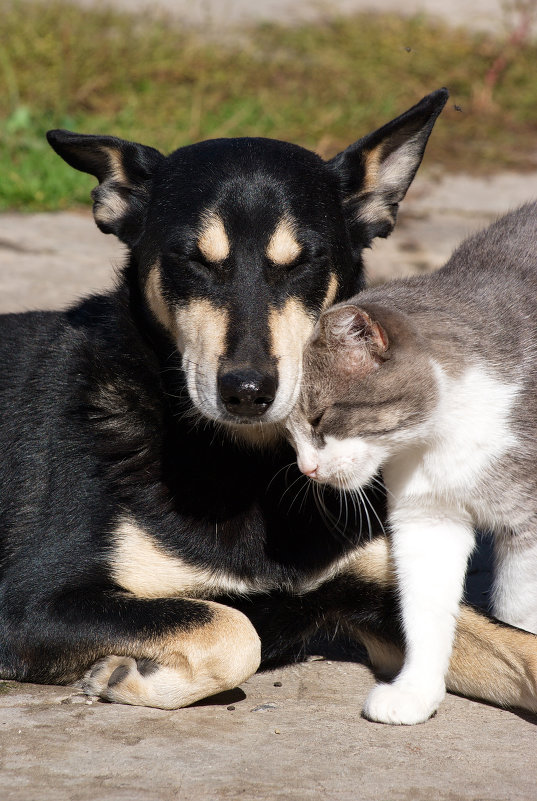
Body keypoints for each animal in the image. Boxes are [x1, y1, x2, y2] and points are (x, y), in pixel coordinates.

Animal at [286, 202, 536, 724]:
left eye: (318, 417)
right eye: (288, 434)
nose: (306, 470)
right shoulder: (427, 521)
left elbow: (517, 613)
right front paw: (415, 691)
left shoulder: (528, 527)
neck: (443, 436)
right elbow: (426, 612)